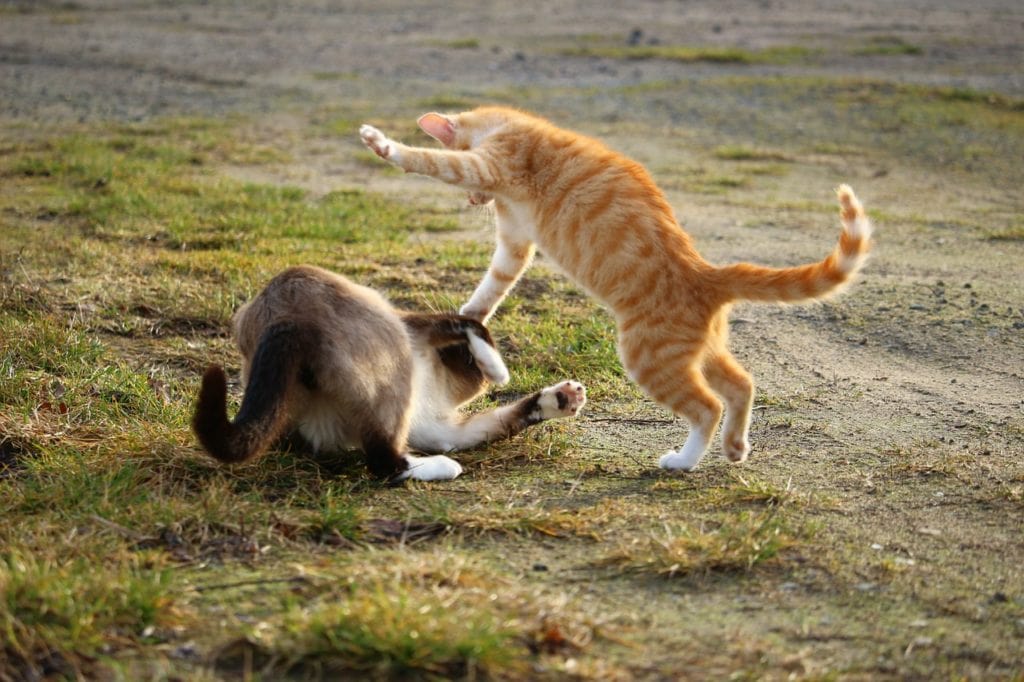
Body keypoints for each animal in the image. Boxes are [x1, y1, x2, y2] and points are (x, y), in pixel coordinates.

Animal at [191, 262, 585, 481]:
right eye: (466, 363)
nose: (479, 374)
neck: (436, 387)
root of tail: (287, 320)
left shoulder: (440, 430)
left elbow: (511, 417)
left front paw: (563, 399)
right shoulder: (420, 330)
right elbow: (469, 324)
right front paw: (497, 367)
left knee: (382, 457)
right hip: (394, 342)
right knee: (384, 464)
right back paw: (446, 467)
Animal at [360, 106, 872, 471]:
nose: (472, 202)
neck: (512, 121)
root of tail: (705, 272)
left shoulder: (490, 164)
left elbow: (431, 160)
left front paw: (383, 144)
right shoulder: (515, 243)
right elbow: (493, 286)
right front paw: (469, 320)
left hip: (648, 358)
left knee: (706, 407)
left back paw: (683, 461)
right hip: (695, 352)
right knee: (741, 385)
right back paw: (735, 446)